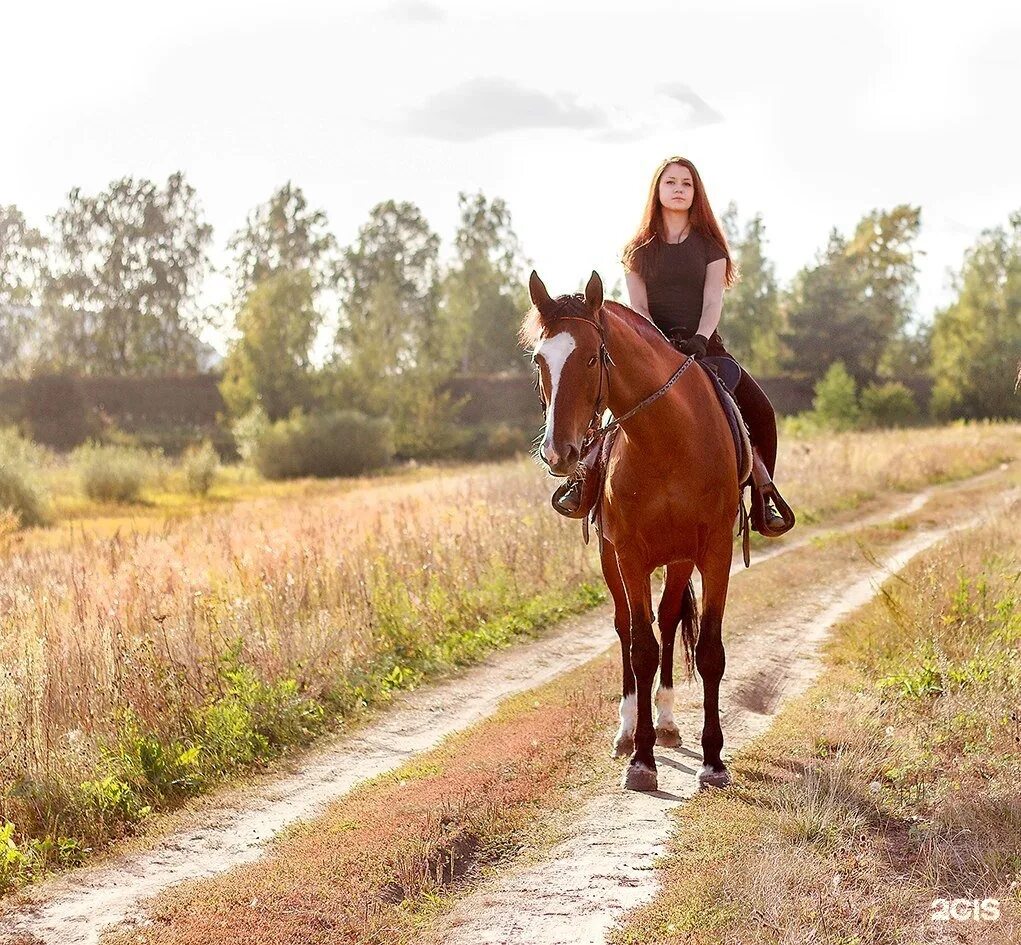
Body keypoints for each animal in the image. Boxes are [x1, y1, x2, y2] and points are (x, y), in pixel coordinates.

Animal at [522, 271, 739, 791]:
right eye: (540, 360)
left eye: (592, 357)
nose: (558, 452)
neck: (668, 437)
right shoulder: (630, 554)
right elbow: (641, 648)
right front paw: (640, 759)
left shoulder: (714, 549)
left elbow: (709, 650)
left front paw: (713, 761)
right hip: (609, 557)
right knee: (626, 629)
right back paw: (626, 731)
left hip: (680, 559)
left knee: (670, 619)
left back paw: (668, 723)